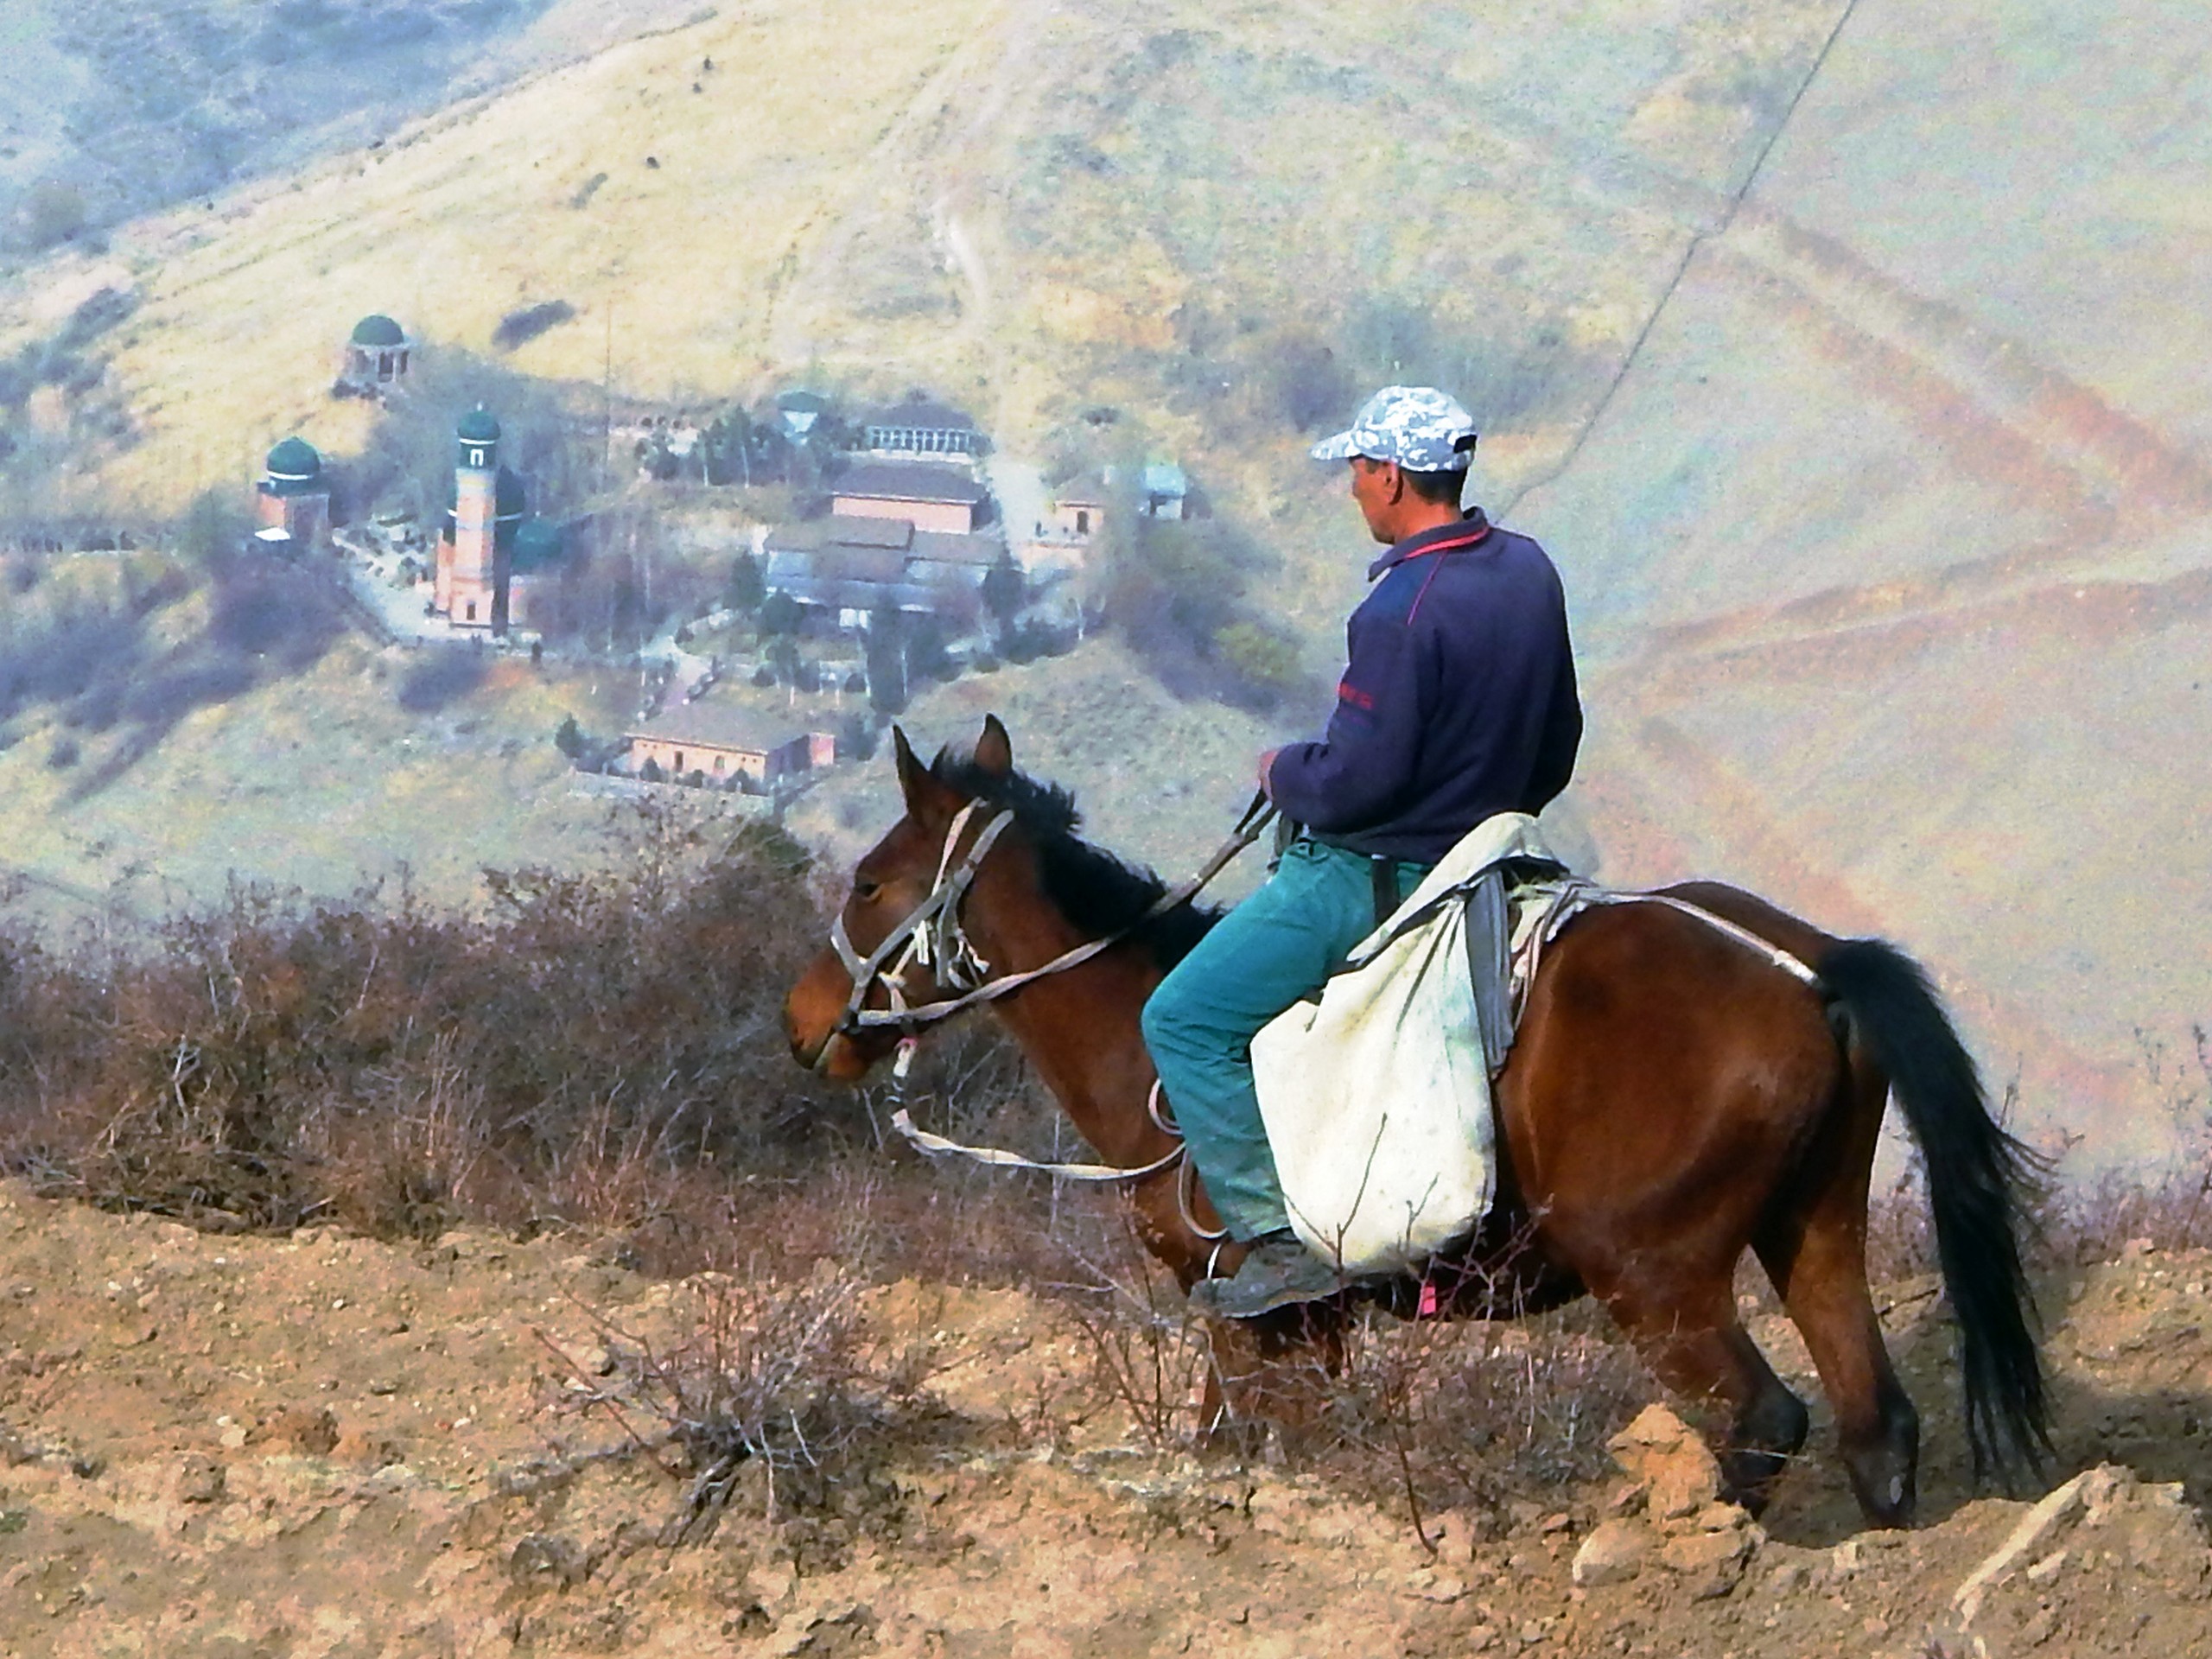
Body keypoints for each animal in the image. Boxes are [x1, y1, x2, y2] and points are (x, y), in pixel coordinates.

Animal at [787, 716, 2044, 1530]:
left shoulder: (1245, 1314)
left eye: (866, 882)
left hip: (1656, 1275)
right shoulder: (1310, 1328)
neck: (1134, 1026)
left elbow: (1235, 1444)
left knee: (1764, 1419)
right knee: (1877, 1426)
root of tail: (1809, 965)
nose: (804, 1023)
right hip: (1814, 1232)